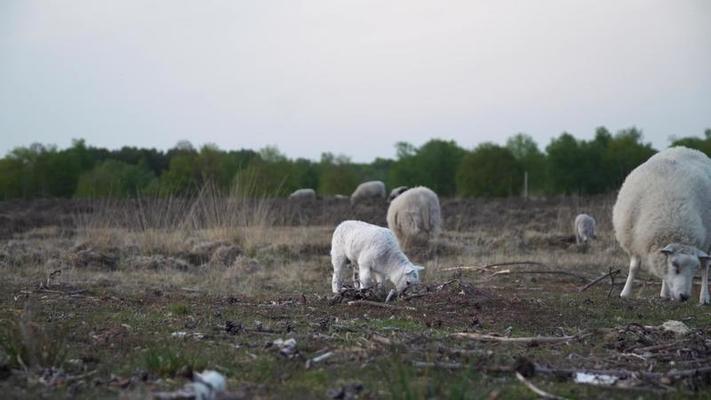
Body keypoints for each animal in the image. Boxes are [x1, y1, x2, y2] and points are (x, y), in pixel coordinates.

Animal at [612, 147, 711, 304]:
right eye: (675, 265)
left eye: (693, 269)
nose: (684, 296)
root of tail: (685, 148)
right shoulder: (633, 238)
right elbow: (634, 267)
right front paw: (625, 293)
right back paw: (664, 293)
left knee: (706, 267)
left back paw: (704, 297)